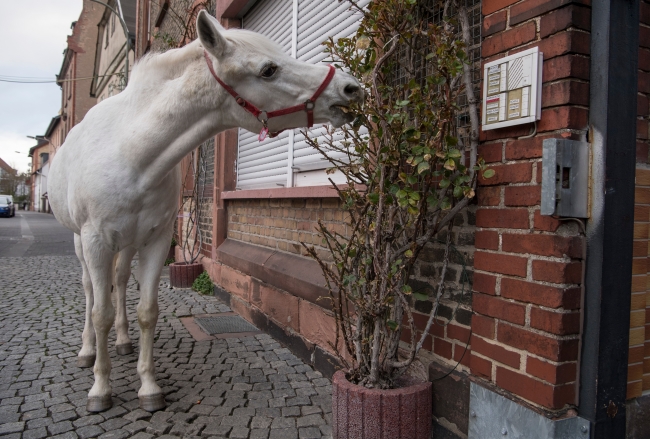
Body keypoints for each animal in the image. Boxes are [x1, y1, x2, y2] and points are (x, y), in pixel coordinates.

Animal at [46, 11, 360, 416]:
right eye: (268, 69)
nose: (350, 88)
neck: (132, 154)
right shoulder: (96, 241)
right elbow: (99, 312)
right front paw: (101, 388)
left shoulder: (155, 241)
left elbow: (147, 311)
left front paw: (148, 386)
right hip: (81, 242)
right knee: (89, 291)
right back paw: (88, 351)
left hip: (127, 244)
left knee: (119, 281)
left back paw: (123, 341)